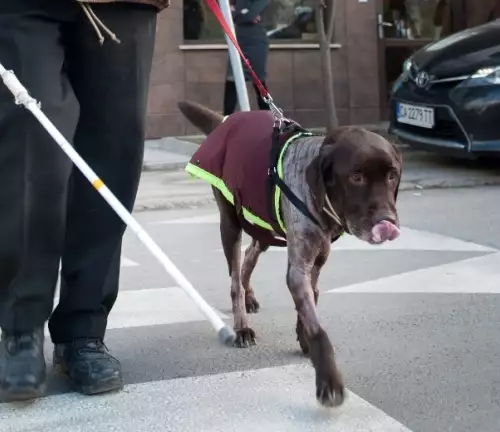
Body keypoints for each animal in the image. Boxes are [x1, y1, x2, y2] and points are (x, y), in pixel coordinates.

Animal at [178, 100, 400, 408]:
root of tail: (227, 120)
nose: (387, 221)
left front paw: (302, 335)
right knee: (235, 277)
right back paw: (241, 325)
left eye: (392, 175)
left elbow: (310, 301)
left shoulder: (314, 261)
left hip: (262, 225)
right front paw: (328, 379)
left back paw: (249, 296)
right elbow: (318, 328)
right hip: (231, 222)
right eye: (356, 176)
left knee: (249, 257)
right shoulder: (299, 266)